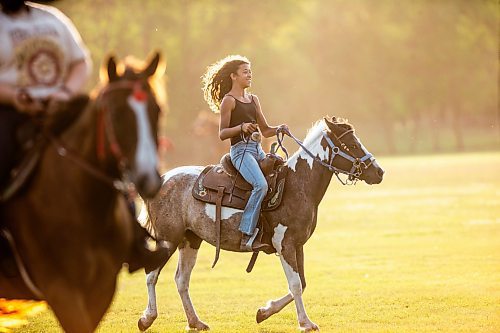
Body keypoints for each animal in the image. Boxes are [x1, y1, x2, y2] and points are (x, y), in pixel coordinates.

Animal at [136, 116, 382, 330]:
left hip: (190, 240)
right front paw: (305, 323)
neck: (297, 185)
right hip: (168, 239)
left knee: (181, 280)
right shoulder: (285, 245)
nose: (379, 172)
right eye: (351, 143)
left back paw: (195, 322)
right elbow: (295, 285)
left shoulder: (297, 245)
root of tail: (162, 179)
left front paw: (264, 312)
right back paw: (147, 318)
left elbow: (301, 283)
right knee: (151, 275)